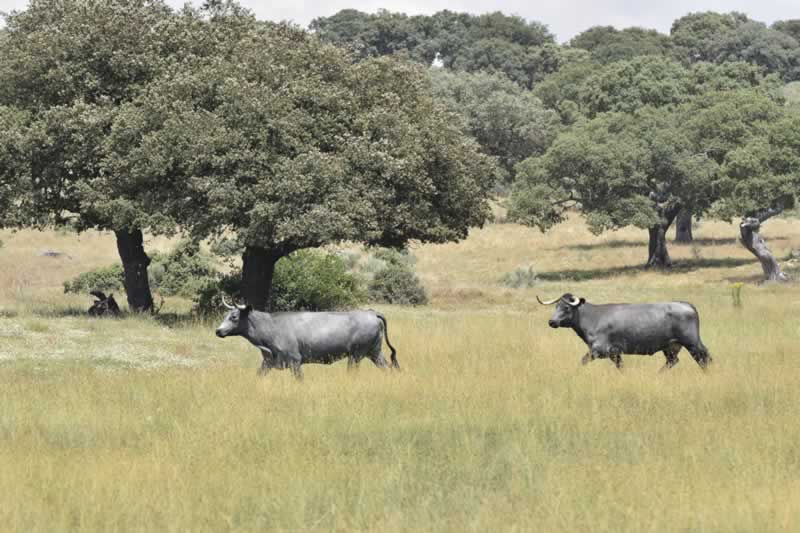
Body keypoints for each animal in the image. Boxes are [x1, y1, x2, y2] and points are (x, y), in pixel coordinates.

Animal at [214, 296, 398, 378]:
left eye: (234, 317)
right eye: (225, 315)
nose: (218, 330)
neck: (271, 326)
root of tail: (371, 313)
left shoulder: (295, 361)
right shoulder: (267, 361)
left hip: (356, 355)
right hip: (374, 352)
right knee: (387, 367)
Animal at [536, 290, 712, 370]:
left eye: (566, 307)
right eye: (556, 306)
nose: (551, 321)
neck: (592, 317)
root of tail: (686, 304)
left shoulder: (599, 350)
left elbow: (583, 361)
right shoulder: (615, 353)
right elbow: (621, 367)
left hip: (692, 343)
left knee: (704, 358)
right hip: (671, 347)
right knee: (673, 361)